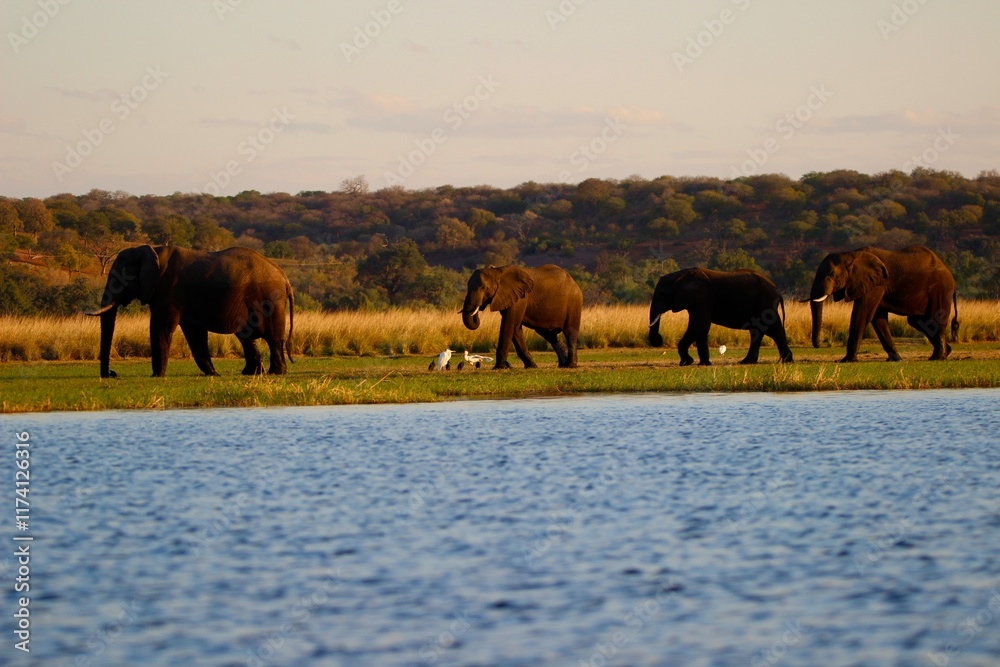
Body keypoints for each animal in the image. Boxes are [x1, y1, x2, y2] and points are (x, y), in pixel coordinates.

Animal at [87, 245, 294, 378]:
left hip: (269, 298)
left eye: (120, 280)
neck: (151, 251)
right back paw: (252, 373)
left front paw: (157, 376)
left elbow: (160, 328)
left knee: (272, 337)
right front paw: (213, 374)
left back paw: (275, 373)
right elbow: (195, 335)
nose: (112, 373)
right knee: (246, 335)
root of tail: (284, 277)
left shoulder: (169, 291)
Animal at [648, 268, 793, 366]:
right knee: (763, 331)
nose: (659, 339)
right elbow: (701, 328)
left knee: (771, 330)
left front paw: (686, 362)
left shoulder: (703, 297)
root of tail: (777, 290)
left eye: (662, 294)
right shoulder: (697, 300)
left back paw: (785, 361)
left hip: (764, 303)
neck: (679, 275)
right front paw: (704, 364)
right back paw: (750, 362)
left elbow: (700, 325)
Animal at [808, 245, 957, 362]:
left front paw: (847, 360)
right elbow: (877, 318)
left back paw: (937, 357)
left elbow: (862, 314)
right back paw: (947, 352)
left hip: (940, 289)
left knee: (933, 320)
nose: (819, 344)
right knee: (917, 321)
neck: (851, 254)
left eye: (832, 275)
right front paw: (896, 359)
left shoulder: (876, 285)